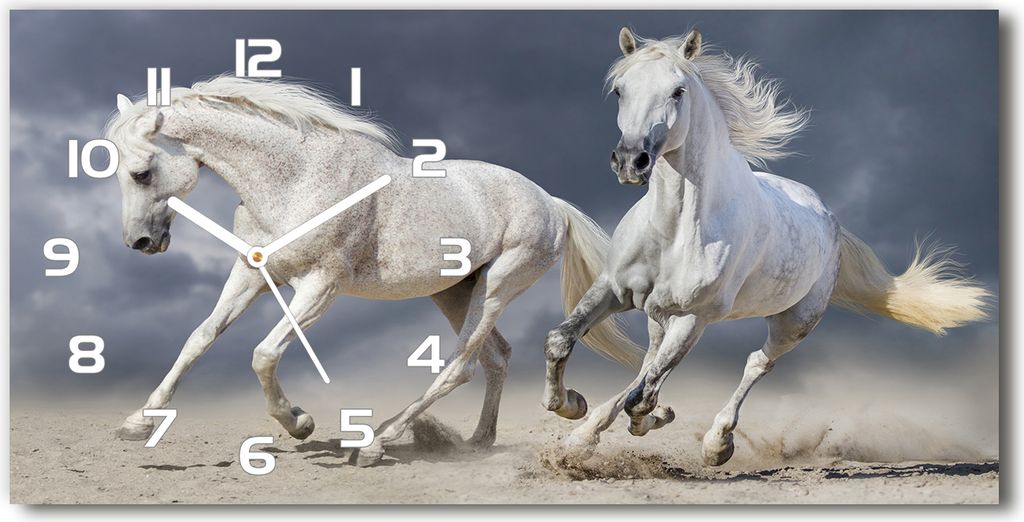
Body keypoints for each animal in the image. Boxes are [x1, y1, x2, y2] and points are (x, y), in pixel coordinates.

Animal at [105, 75, 645, 466]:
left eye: (141, 172)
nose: (140, 243)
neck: (295, 178)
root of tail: (551, 202)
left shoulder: (320, 287)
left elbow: (263, 354)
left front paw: (298, 422)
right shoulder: (253, 275)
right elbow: (199, 338)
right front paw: (138, 423)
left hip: (496, 287)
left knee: (460, 367)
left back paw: (376, 444)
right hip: (454, 292)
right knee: (496, 358)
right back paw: (480, 439)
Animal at [541, 28, 990, 466]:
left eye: (678, 91)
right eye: (620, 90)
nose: (631, 161)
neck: (675, 229)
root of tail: (830, 218)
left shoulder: (693, 317)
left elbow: (643, 395)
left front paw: (647, 419)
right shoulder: (614, 289)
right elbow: (562, 340)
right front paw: (571, 408)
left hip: (794, 323)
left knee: (755, 363)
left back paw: (716, 444)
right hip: (659, 315)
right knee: (649, 360)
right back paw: (583, 437)